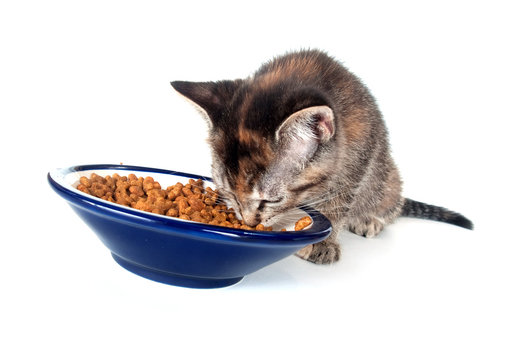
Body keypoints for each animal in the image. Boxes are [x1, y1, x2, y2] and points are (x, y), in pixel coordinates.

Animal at [171, 49, 474, 262]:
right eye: (230, 193)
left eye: (272, 199)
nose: (249, 223)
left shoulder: (358, 156)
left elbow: (339, 203)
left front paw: (322, 243)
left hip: (386, 174)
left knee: (390, 201)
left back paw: (370, 219)